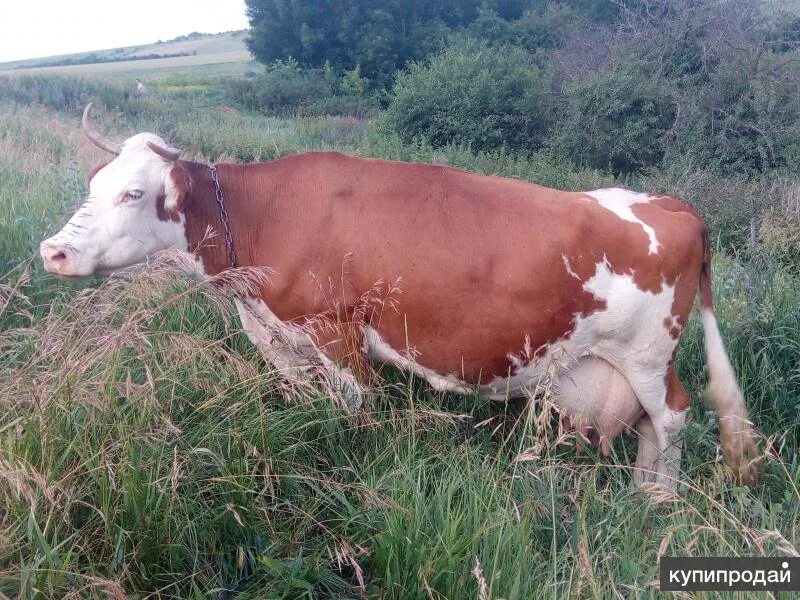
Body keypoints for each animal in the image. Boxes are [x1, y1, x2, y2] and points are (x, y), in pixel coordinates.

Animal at [39, 106, 764, 492]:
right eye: (93, 182)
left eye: (134, 192)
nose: (54, 251)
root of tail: (668, 203)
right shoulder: (285, 342)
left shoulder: (337, 334)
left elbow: (354, 410)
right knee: (650, 422)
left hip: (648, 354)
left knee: (672, 416)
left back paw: (656, 498)